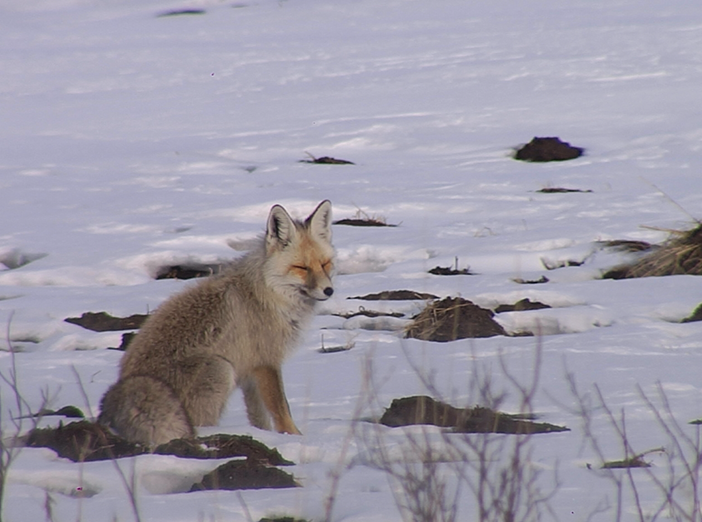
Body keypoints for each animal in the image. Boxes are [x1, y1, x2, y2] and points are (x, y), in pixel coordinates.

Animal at [98, 201, 336, 444]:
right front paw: (294, 438)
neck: (268, 295)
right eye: (302, 268)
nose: (329, 291)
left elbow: (260, 418)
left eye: (325, 264)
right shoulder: (267, 362)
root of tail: (121, 387)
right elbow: (282, 410)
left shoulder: (251, 373)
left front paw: (265, 437)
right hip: (220, 368)